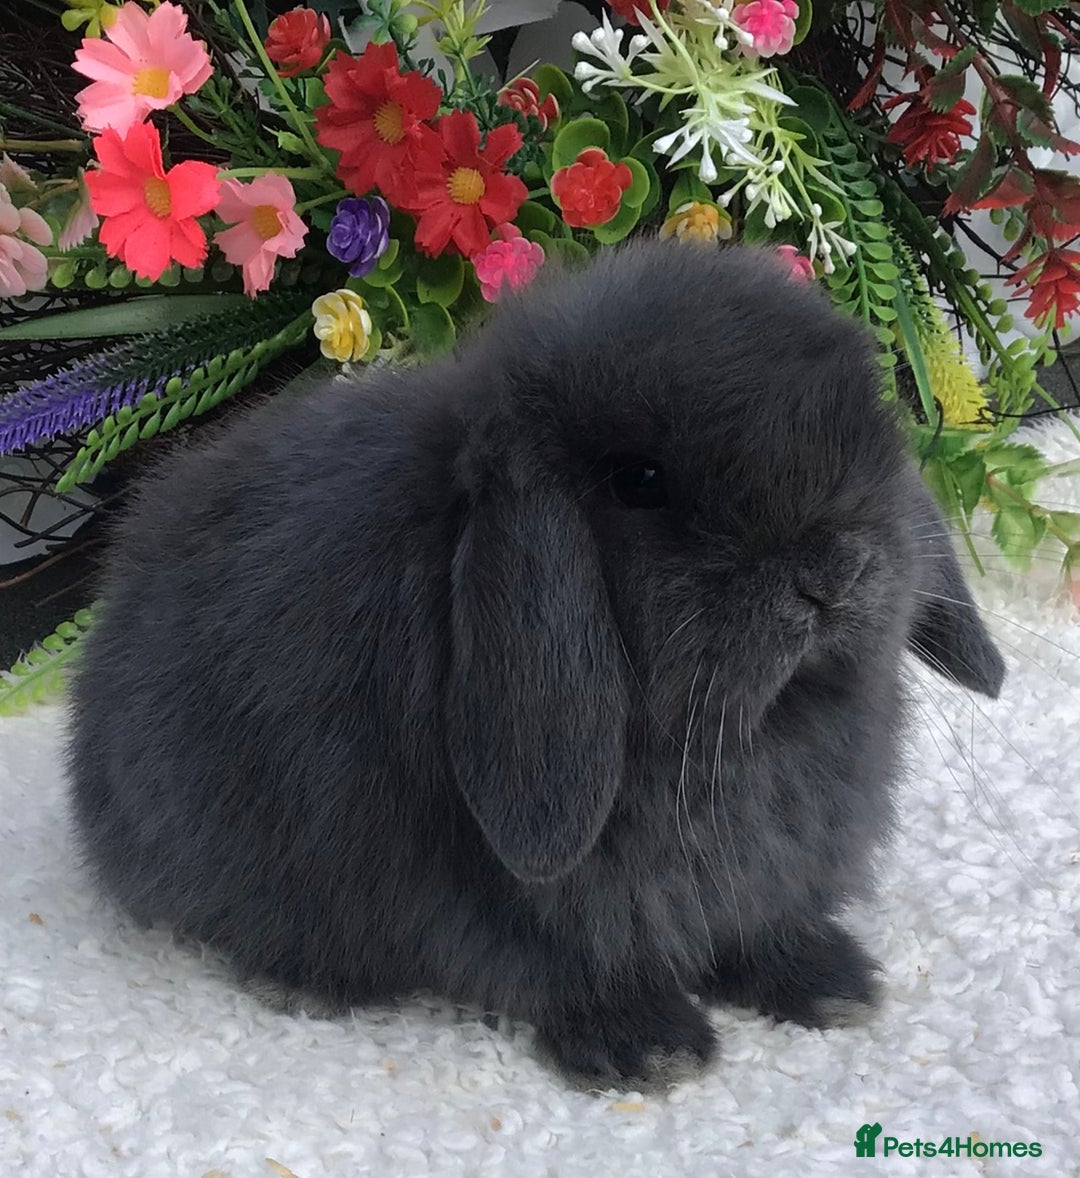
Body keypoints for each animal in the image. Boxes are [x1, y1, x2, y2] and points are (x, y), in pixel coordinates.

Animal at [67, 241, 1005, 1083]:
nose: (833, 573)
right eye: (640, 481)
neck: (759, 731)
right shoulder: (508, 908)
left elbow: (765, 931)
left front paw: (832, 983)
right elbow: (565, 970)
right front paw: (652, 1048)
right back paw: (305, 983)